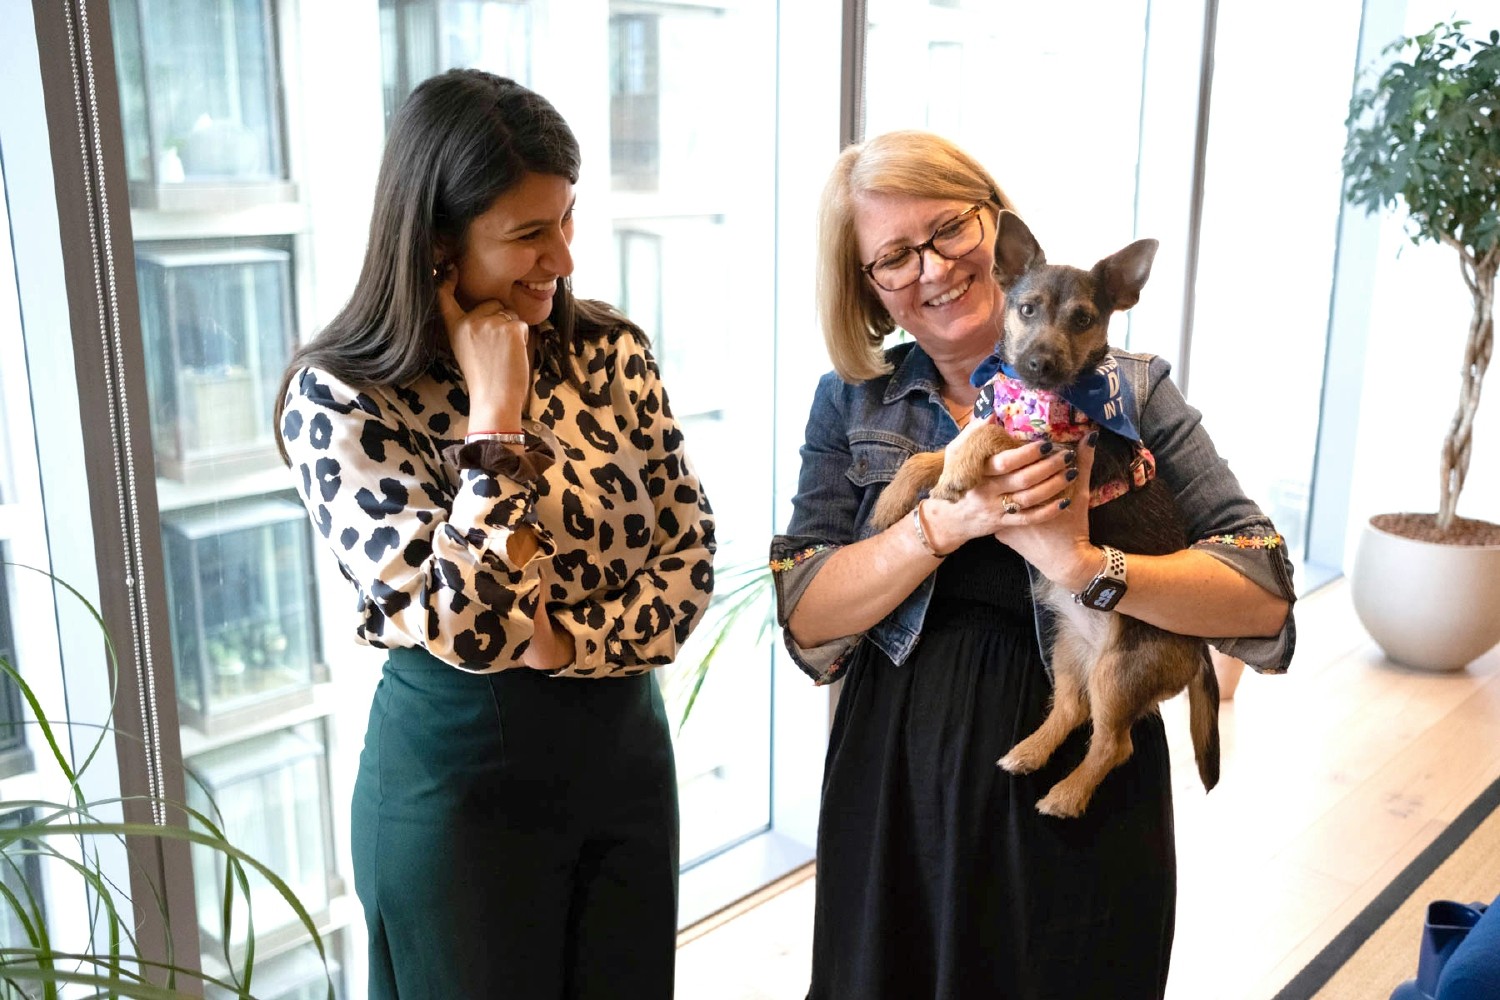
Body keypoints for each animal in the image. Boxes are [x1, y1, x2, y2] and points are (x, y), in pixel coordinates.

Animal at [870, 212, 1218, 821]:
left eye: (1083, 319)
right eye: (1027, 308)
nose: (1040, 364)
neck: (1041, 397)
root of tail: (1198, 649)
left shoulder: (1053, 449)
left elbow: (983, 434)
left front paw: (956, 470)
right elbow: (933, 452)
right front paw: (894, 499)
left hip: (1120, 669)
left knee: (1112, 743)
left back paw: (1067, 795)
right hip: (1068, 644)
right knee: (1071, 710)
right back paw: (1029, 753)